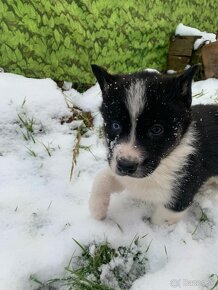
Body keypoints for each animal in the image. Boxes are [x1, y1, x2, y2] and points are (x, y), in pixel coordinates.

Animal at [88, 64, 218, 225]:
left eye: (156, 129)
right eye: (115, 125)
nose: (125, 165)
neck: (165, 162)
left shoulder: (180, 194)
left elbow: (159, 222)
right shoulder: (121, 171)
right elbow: (102, 177)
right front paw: (97, 210)